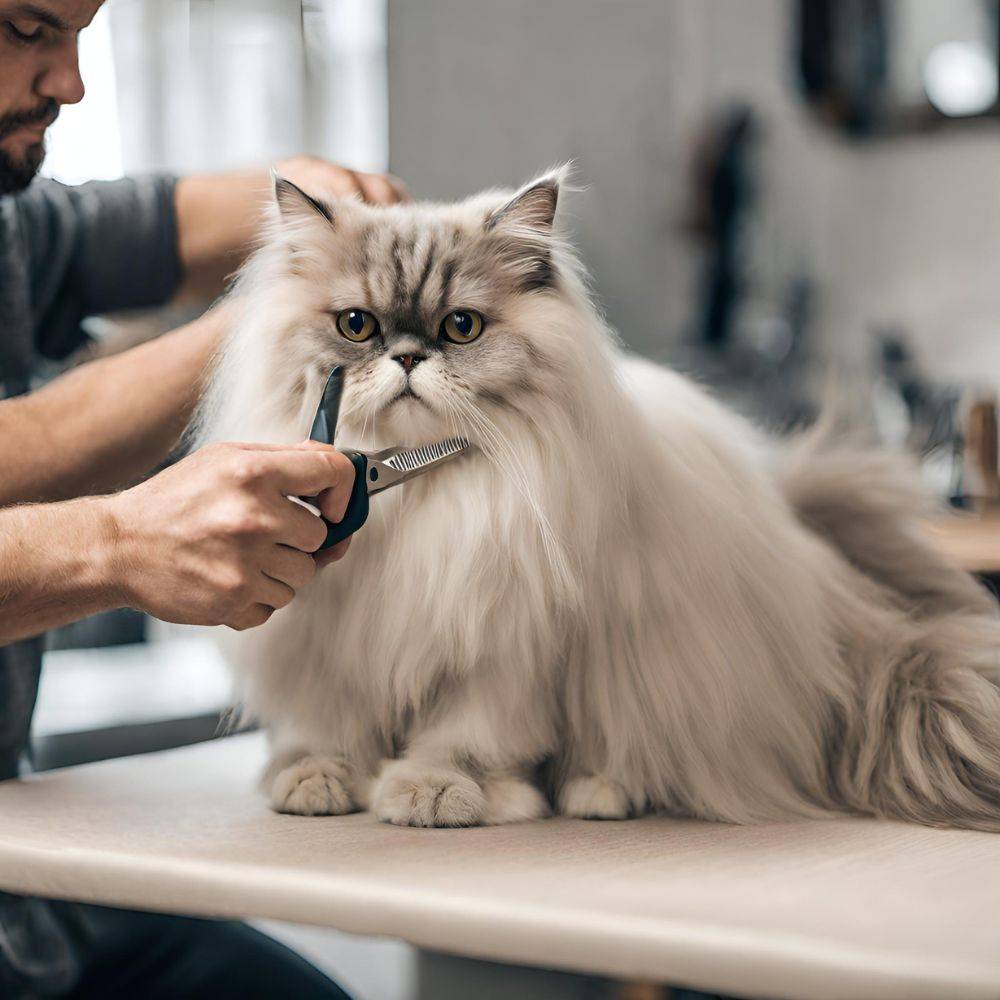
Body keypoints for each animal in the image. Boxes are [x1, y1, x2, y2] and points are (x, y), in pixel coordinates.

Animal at [199, 170, 1000, 828]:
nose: (407, 357)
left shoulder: (499, 653)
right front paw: (316, 781)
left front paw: (434, 792)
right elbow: (326, 730)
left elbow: (462, 740)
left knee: (629, 756)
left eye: (461, 327)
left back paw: (599, 793)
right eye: (356, 326)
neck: (423, 496)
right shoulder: (325, 649)